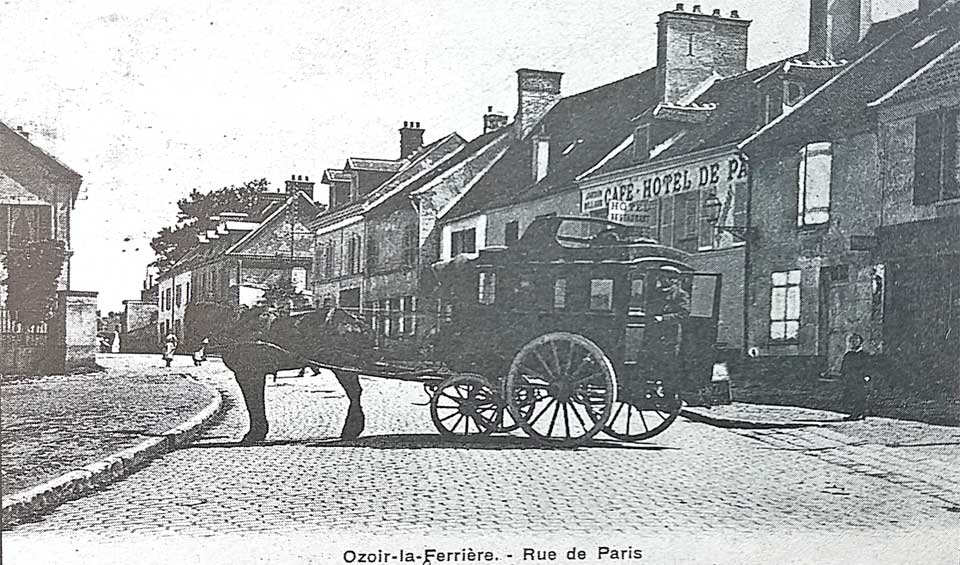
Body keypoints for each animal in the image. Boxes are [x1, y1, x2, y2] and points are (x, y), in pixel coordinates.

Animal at [193, 304, 374, 446]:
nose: (196, 356)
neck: (235, 325)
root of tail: (356, 321)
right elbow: (255, 403)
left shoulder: (249, 375)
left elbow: (254, 403)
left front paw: (255, 433)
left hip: (343, 368)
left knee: (354, 394)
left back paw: (351, 429)